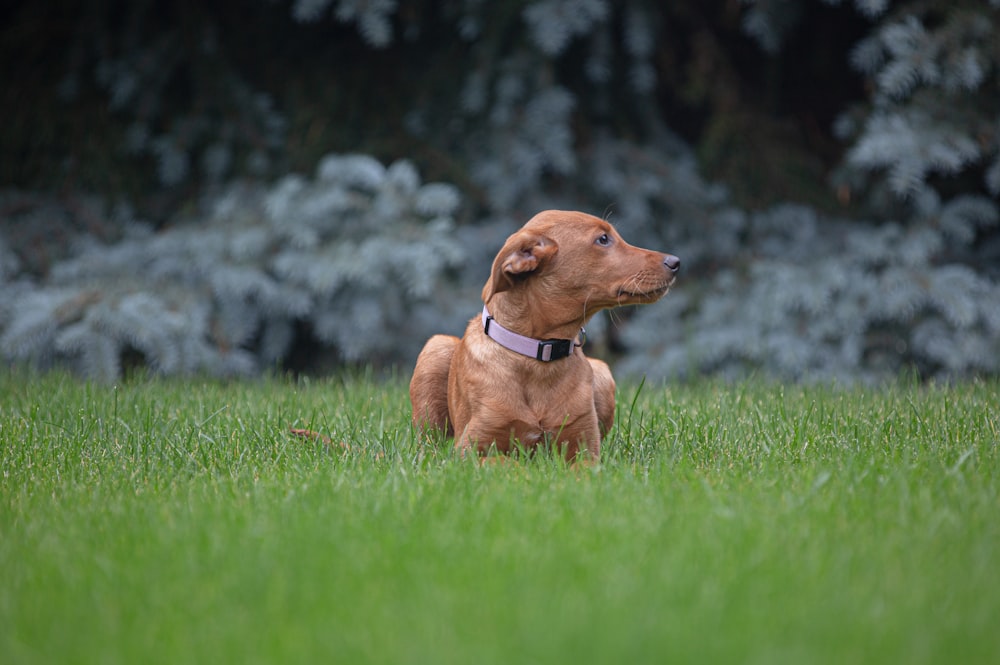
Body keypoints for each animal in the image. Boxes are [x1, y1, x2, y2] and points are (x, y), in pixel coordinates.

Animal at [408, 210, 680, 460]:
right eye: (603, 239)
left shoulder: (585, 451)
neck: (539, 355)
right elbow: (507, 464)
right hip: (436, 349)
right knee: (428, 445)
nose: (675, 262)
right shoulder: (471, 450)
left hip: (602, 372)